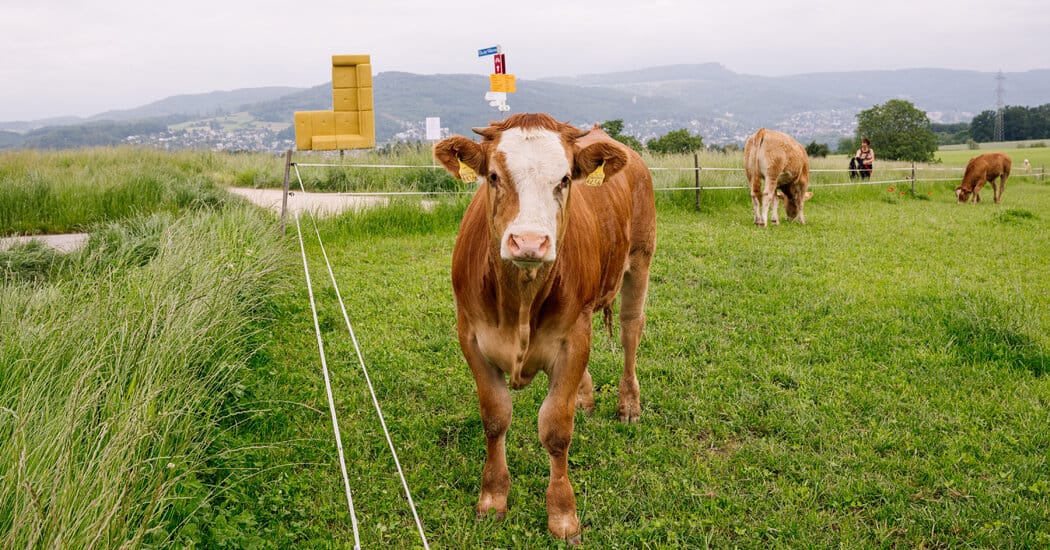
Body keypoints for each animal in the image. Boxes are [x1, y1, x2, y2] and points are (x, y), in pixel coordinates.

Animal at [430, 112, 651, 541]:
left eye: (564, 179)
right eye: (494, 176)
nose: (529, 242)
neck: (520, 298)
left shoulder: (572, 338)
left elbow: (555, 429)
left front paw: (563, 515)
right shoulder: (471, 336)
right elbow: (495, 418)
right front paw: (492, 498)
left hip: (641, 258)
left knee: (631, 330)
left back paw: (628, 404)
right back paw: (585, 396)